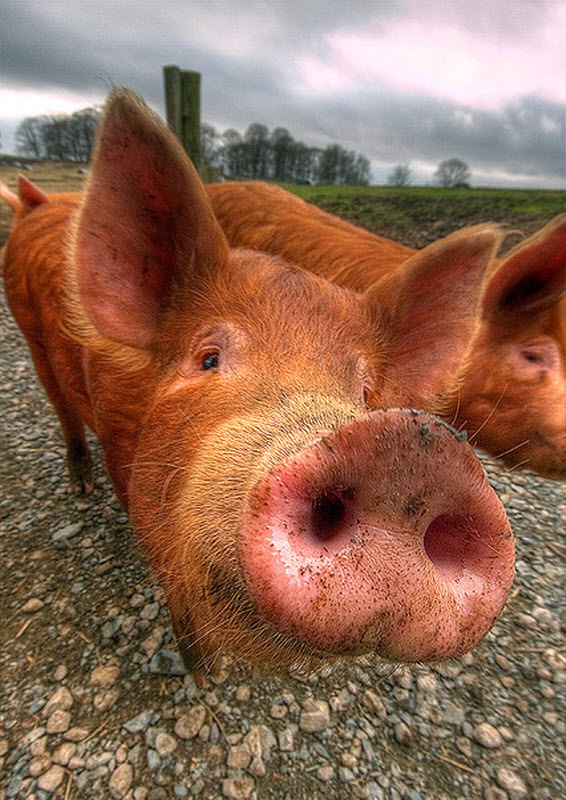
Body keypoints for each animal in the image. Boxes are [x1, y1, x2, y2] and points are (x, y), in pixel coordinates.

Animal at [0, 89, 514, 675]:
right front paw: (202, 671)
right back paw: (80, 487)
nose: (409, 453)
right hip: (30, 336)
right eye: (208, 358)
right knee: (62, 410)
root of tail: (39, 205)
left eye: (365, 392)